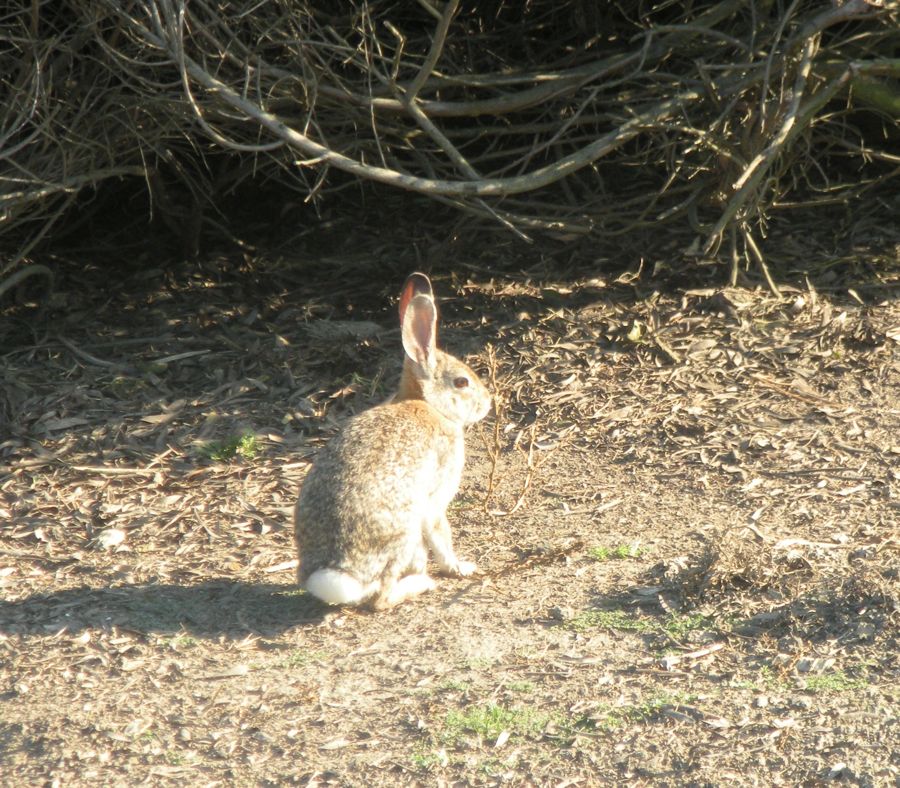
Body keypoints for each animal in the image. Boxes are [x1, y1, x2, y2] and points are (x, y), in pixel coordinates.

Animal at [294, 270, 492, 608]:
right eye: (462, 382)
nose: (488, 403)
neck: (430, 405)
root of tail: (338, 574)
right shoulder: (435, 499)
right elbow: (441, 533)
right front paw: (460, 567)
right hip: (405, 536)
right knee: (381, 598)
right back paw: (420, 583)